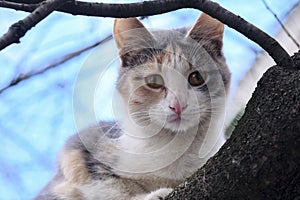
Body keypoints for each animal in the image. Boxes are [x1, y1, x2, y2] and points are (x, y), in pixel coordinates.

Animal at [35, 13, 232, 199]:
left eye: (196, 77)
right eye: (154, 81)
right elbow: (111, 187)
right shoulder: (78, 151)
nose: (178, 105)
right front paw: (152, 194)